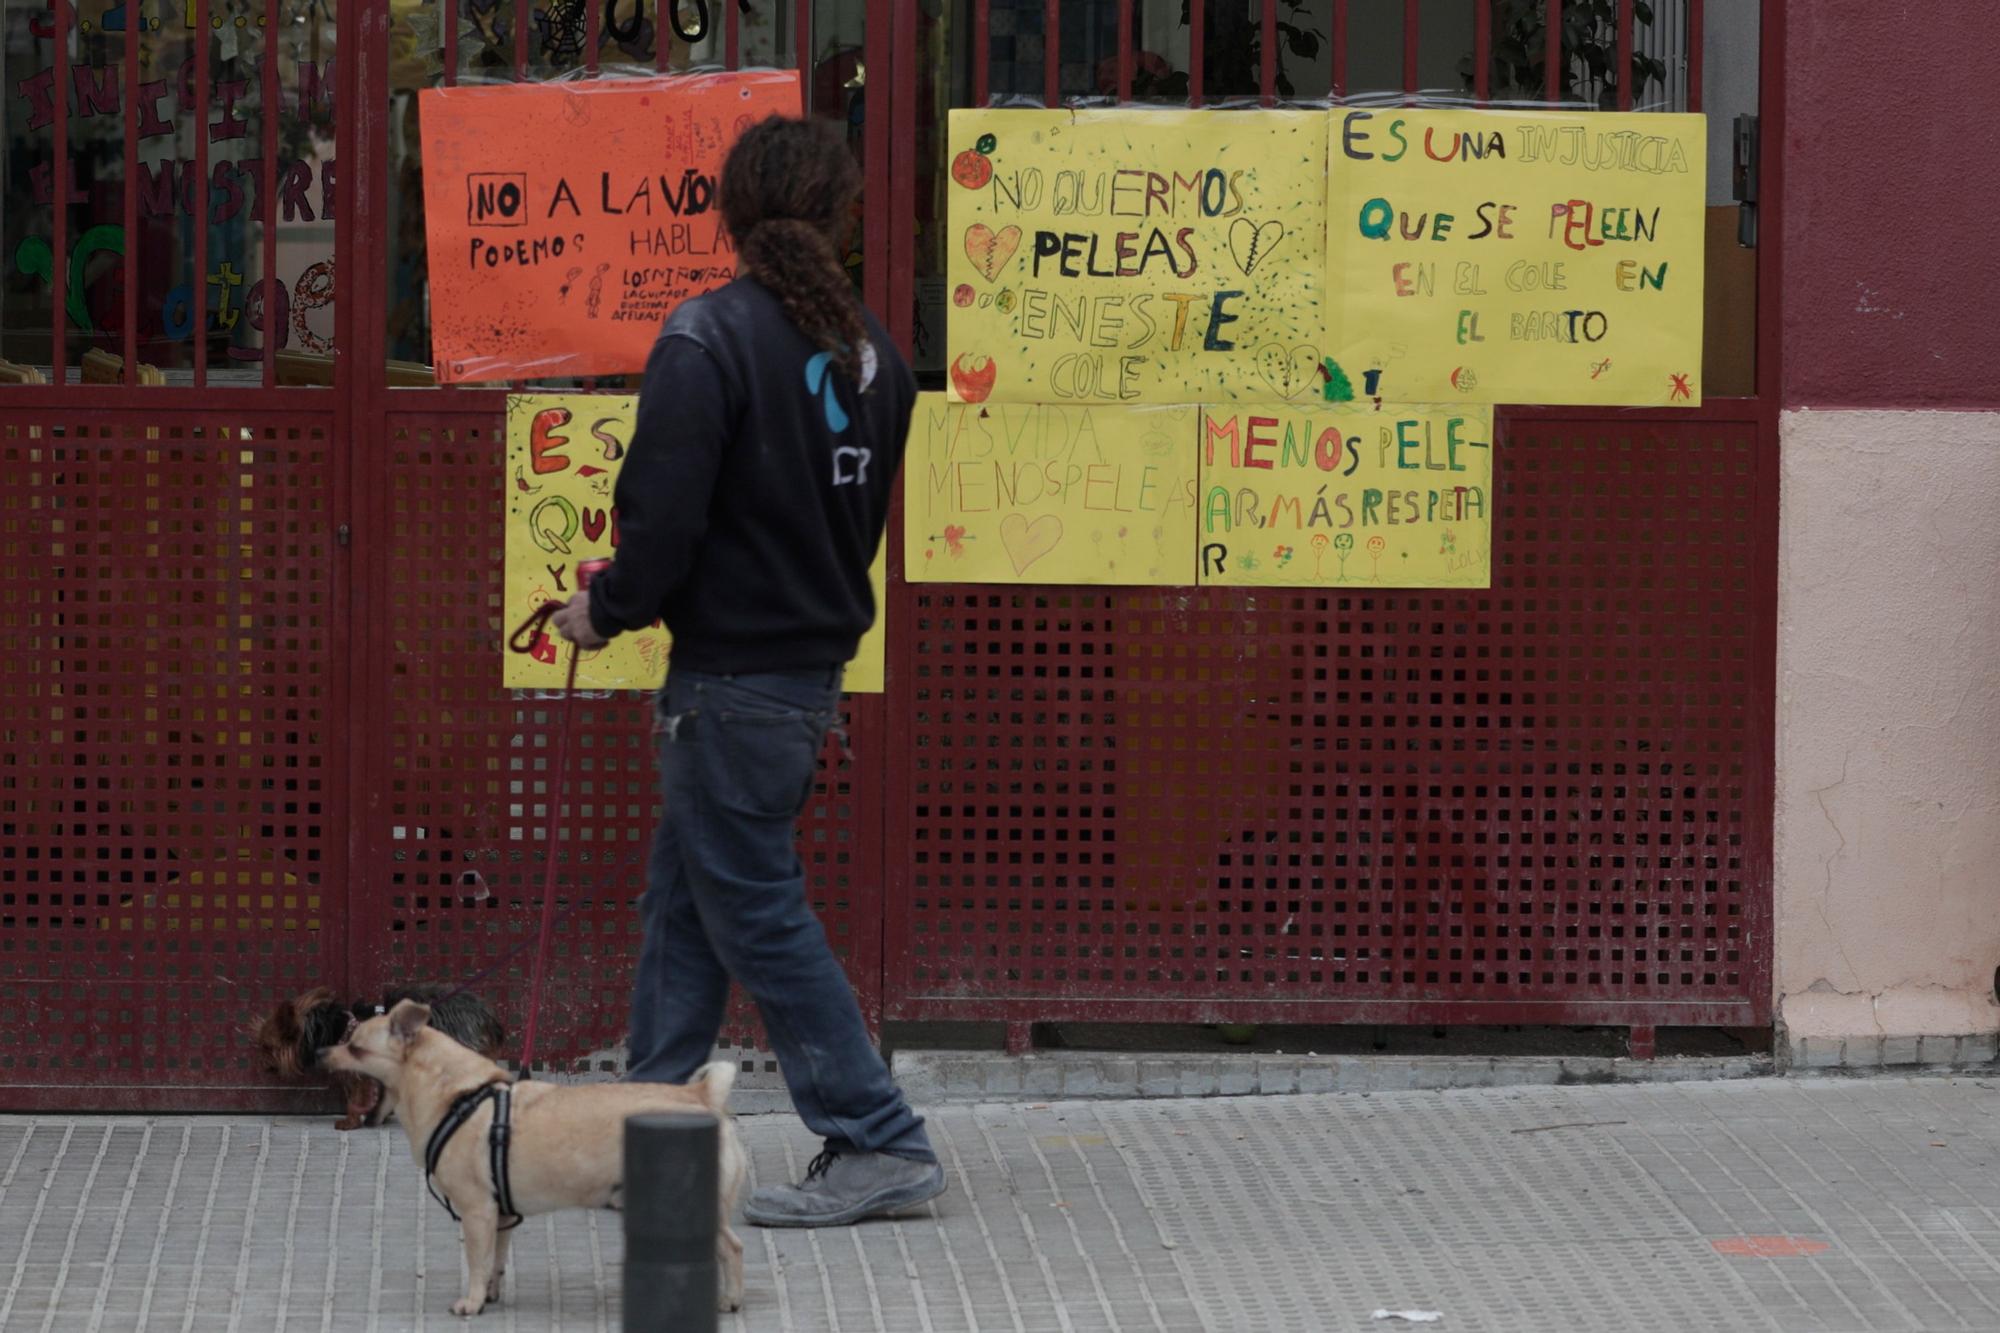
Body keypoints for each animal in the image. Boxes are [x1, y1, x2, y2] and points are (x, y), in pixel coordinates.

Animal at [256, 980, 508, 1128]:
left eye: (267, 1048)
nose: (263, 1065)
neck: (335, 1028)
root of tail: (488, 1017)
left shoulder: (359, 1071)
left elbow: (355, 1097)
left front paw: (349, 1122)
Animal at [324, 996, 748, 1304]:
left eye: (355, 1048)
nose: (322, 1054)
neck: (458, 1096)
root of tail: (701, 1096)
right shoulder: (501, 1216)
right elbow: (495, 1262)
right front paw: (490, 1295)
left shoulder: (476, 1211)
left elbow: (476, 1261)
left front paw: (471, 1303)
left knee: (732, 1248)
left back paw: (729, 1300)